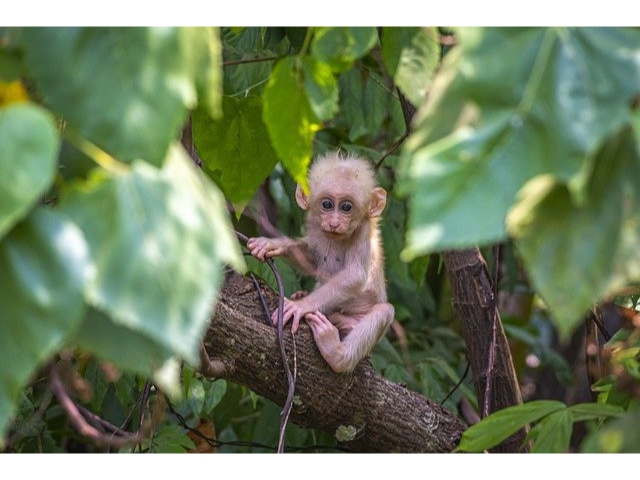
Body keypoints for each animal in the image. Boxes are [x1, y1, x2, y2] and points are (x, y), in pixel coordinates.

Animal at [246, 152, 392, 374]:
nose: (334, 223)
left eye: (346, 207)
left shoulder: (364, 231)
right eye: (327, 205)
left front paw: (300, 306)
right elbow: (312, 258)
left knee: (384, 311)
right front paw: (272, 244)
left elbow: (356, 275)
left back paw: (337, 353)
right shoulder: (315, 225)